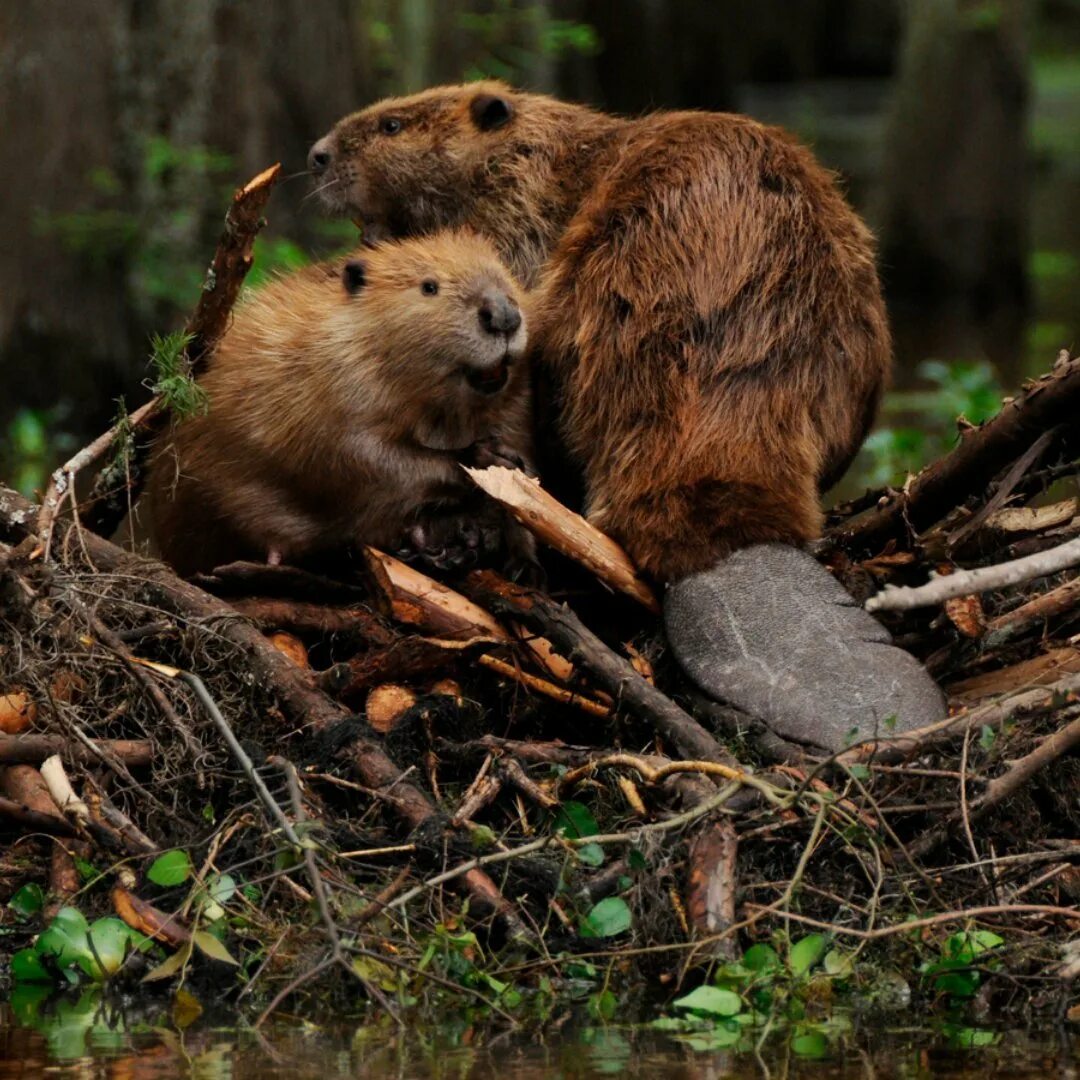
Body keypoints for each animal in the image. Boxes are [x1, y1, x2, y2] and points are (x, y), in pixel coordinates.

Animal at [143, 231, 531, 578]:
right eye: (429, 286)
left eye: (505, 273)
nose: (503, 316)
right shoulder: (330, 385)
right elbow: (361, 456)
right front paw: (487, 458)